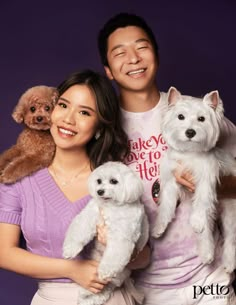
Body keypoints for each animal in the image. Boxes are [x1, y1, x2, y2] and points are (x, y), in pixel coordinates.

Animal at [61, 160, 148, 302]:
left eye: (114, 181)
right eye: (99, 181)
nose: (100, 191)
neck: (111, 206)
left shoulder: (121, 236)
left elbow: (114, 255)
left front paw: (105, 270)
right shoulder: (90, 214)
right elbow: (80, 228)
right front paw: (70, 249)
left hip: (120, 273)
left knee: (109, 285)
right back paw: (86, 295)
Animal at [151, 86, 236, 270]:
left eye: (201, 119)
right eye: (180, 116)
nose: (190, 132)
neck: (189, 152)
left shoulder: (206, 179)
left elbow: (203, 199)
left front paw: (196, 221)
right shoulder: (171, 180)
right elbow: (166, 204)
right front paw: (159, 226)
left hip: (231, 212)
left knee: (230, 237)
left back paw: (228, 262)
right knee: (206, 231)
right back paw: (207, 254)